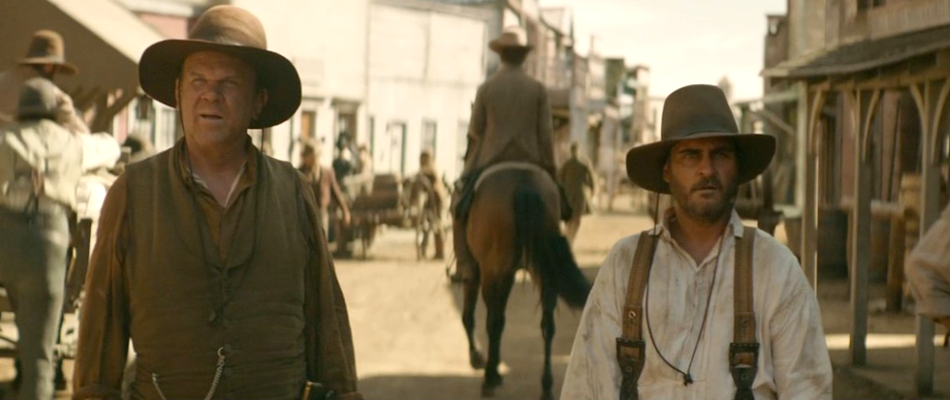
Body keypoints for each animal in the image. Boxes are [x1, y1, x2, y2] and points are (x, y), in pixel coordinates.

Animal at [462, 163, 592, 400]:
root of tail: (524, 184)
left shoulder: (479, 269)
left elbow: (473, 316)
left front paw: (480, 359)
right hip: (543, 270)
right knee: (547, 325)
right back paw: (546, 386)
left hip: (492, 270)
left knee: (492, 321)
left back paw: (489, 379)